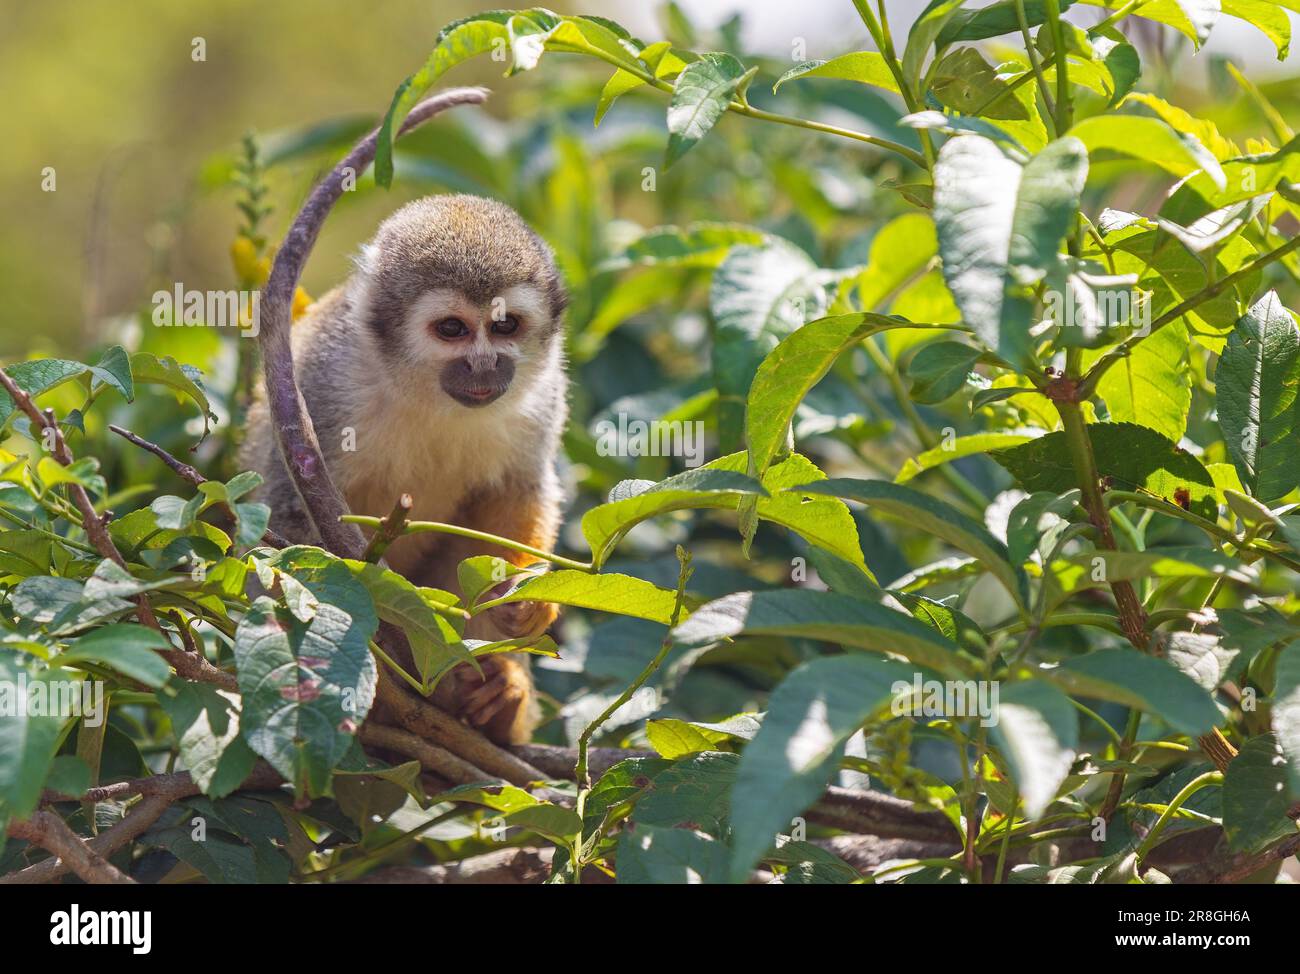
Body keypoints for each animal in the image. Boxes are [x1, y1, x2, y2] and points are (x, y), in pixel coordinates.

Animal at [240, 193, 568, 745]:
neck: (427, 392)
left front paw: (526, 600)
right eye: (453, 329)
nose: (484, 365)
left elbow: (518, 491)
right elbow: (293, 515)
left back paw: (500, 702)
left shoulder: (543, 392)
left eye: (504, 326)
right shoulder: (321, 380)